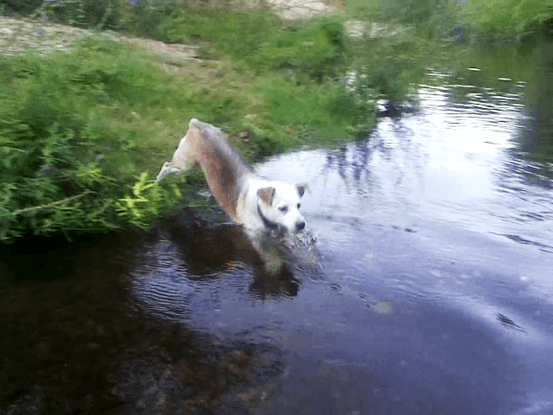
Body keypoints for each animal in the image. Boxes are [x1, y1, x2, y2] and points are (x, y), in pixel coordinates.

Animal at [155, 119, 308, 237]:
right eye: (282, 208)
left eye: (299, 205)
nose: (301, 224)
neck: (258, 205)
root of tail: (198, 124)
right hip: (184, 163)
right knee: (166, 166)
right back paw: (157, 182)